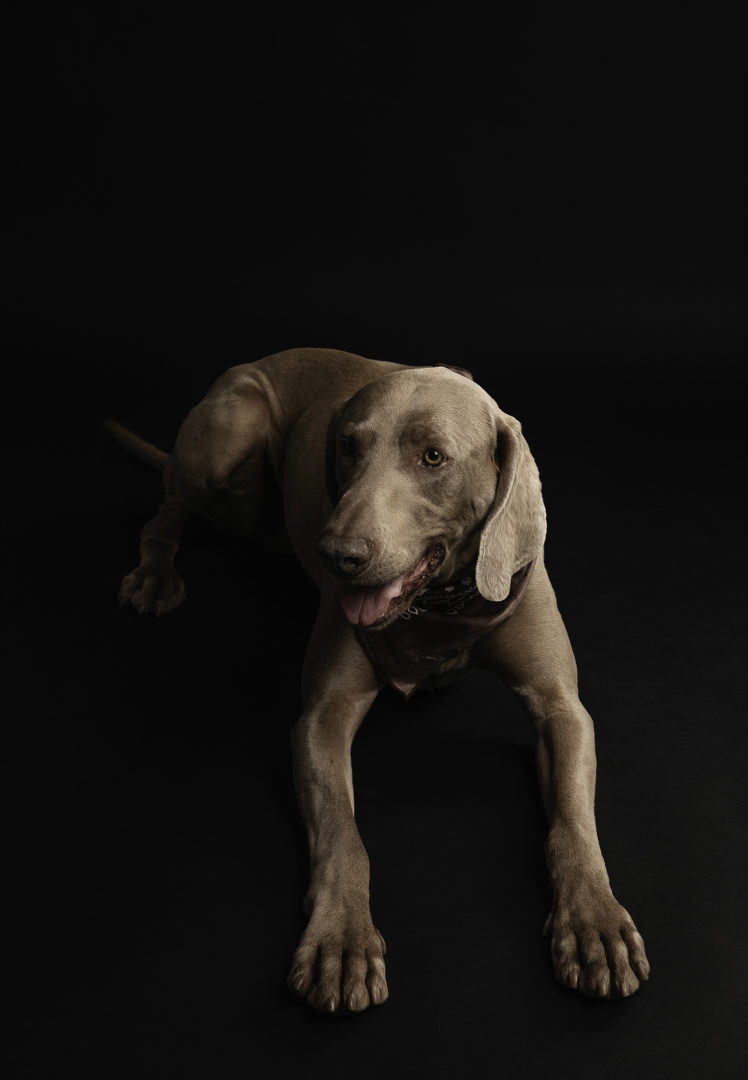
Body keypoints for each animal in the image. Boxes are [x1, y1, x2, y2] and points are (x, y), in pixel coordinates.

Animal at [109, 347, 650, 1013]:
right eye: (347, 446)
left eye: (433, 457)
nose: (338, 554)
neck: (439, 606)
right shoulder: (323, 714)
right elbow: (343, 833)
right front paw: (341, 941)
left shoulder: (561, 707)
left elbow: (573, 822)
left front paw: (595, 921)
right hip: (226, 434)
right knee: (164, 514)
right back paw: (154, 575)